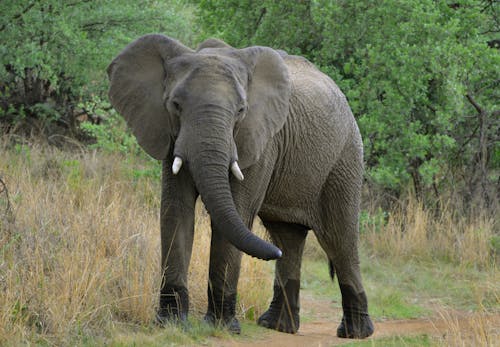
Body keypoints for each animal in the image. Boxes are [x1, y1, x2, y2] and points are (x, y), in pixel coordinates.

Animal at [108, 34, 376, 340]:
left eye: (241, 111)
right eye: (175, 105)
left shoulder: (261, 140)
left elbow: (236, 211)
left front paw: (220, 327)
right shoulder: (168, 133)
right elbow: (176, 212)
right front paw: (170, 323)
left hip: (345, 160)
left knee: (339, 239)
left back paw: (355, 333)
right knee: (287, 238)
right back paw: (277, 325)